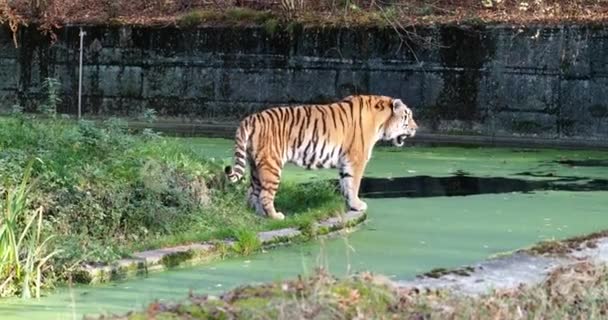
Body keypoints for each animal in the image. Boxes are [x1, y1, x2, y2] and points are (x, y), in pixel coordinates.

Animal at [223, 95, 418, 220]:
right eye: (407, 116)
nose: (416, 128)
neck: (382, 123)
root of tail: (250, 118)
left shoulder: (345, 161)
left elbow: (346, 184)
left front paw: (350, 204)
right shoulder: (357, 159)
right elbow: (354, 184)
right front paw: (357, 205)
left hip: (255, 165)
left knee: (252, 193)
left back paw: (259, 215)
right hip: (272, 164)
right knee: (264, 195)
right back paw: (275, 216)